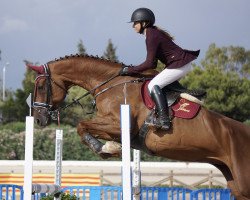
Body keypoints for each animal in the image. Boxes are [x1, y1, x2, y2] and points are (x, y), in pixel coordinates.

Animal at [29, 54, 250, 200]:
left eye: (40, 87)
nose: (39, 119)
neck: (109, 84)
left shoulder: (120, 126)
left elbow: (81, 125)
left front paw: (102, 148)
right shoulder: (113, 128)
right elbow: (86, 127)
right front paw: (111, 147)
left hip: (243, 181)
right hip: (235, 184)